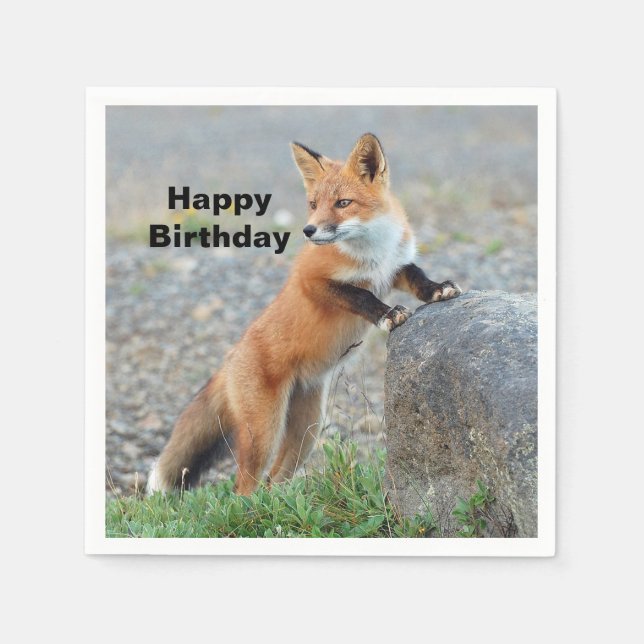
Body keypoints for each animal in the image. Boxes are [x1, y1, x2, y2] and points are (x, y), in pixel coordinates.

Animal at [146, 133, 462, 496]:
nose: (308, 231)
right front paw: (387, 314)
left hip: (307, 431)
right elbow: (361, 295)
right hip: (264, 432)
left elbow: (417, 276)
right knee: (244, 487)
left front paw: (438, 290)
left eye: (342, 203)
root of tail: (230, 359)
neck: (372, 252)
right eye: (313, 204)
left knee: (274, 480)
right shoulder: (312, 280)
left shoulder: (394, 268)